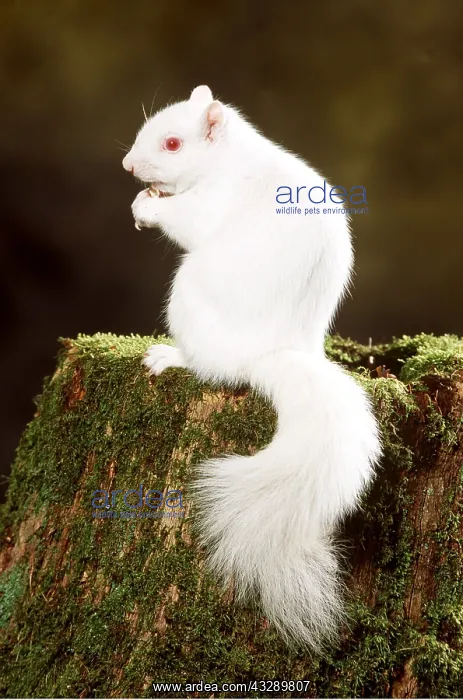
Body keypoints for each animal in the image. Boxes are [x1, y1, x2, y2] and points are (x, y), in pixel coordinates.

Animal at [122, 85, 381, 651]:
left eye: (172, 143)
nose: (129, 165)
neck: (225, 160)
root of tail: (272, 354)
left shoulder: (214, 203)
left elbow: (188, 221)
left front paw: (146, 205)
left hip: (190, 300)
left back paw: (171, 355)